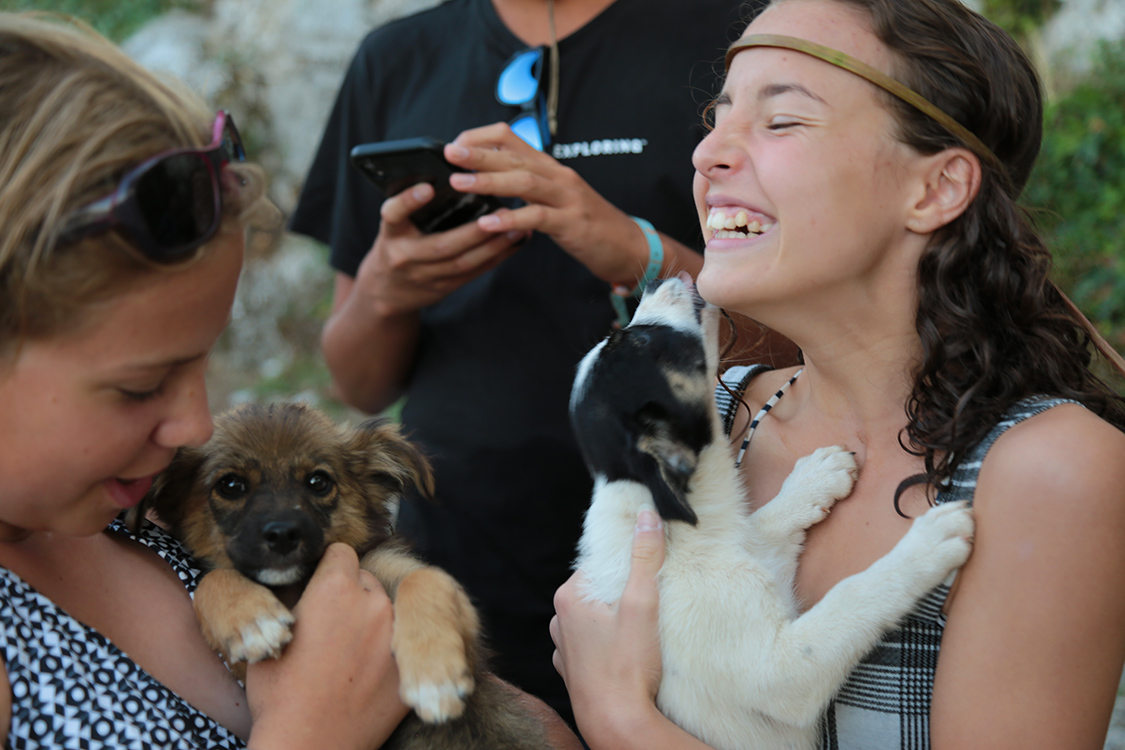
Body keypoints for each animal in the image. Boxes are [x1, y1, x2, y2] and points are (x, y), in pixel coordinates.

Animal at [133, 404, 546, 750]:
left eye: (318, 482)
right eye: (230, 485)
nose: (283, 535)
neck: (295, 584)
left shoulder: (402, 577)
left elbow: (426, 578)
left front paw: (434, 679)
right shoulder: (247, 679)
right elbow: (211, 581)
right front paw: (251, 621)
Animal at [567, 278, 972, 750]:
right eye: (640, 341)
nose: (656, 281)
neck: (678, 527)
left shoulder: (758, 550)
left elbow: (766, 520)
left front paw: (816, 477)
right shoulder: (780, 672)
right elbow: (853, 596)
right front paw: (925, 545)